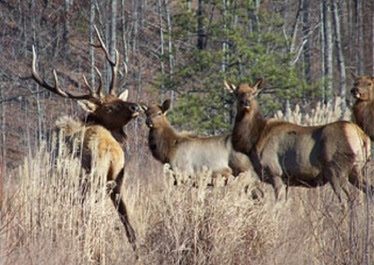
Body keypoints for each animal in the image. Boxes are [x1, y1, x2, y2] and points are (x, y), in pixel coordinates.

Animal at [30, 25, 141, 254]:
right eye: (109, 106)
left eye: (118, 98)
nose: (135, 106)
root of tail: (110, 152)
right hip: (112, 180)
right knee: (123, 220)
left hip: (94, 180)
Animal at [224, 78, 372, 200]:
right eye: (236, 93)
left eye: (253, 93)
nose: (246, 102)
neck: (252, 142)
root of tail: (362, 137)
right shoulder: (286, 180)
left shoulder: (275, 173)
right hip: (356, 169)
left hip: (335, 170)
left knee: (347, 199)